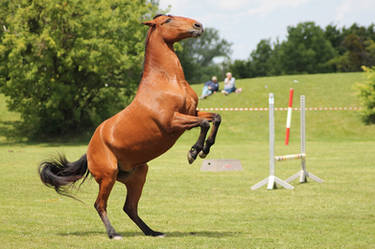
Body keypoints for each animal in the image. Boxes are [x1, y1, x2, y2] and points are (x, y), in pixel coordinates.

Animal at [40, 14, 223, 240]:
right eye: (168, 20)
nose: (198, 26)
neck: (167, 81)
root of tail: (89, 150)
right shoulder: (173, 122)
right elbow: (205, 123)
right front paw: (194, 152)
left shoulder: (191, 113)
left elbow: (215, 118)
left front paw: (205, 149)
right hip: (108, 177)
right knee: (100, 204)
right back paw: (113, 234)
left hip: (138, 176)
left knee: (130, 208)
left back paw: (152, 232)